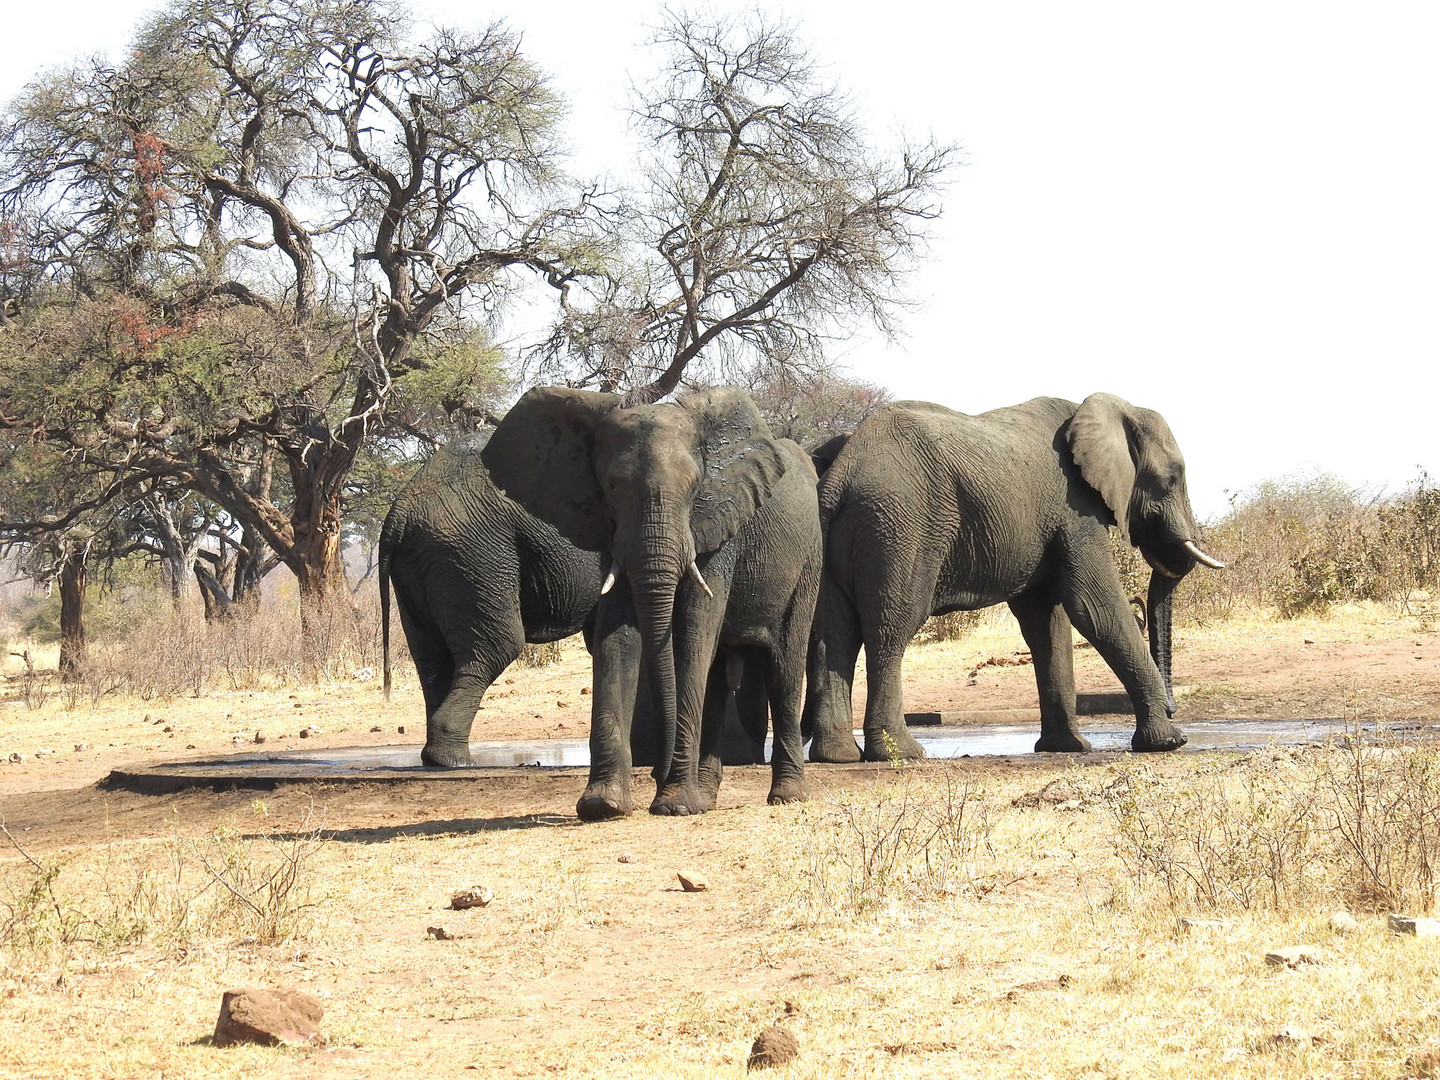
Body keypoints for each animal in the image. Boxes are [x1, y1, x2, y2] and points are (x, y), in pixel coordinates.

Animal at [377, 432, 771, 771]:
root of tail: (399, 511)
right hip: (472, 554)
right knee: (497, 646)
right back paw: (455, 761)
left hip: (426, 560)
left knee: (431, 659)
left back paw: (438, 757)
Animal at [483, 385, 823, 817]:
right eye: (611, 488)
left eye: (694, 487)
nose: (655, 777)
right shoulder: (611, 532)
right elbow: (617, 635)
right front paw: (603, 806)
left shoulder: (718, 523)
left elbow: (694, 630)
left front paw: (674, 805)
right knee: (716, 675)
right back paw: (705, 800)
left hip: (809, 562)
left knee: (784, 666)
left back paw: (786, 796)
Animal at [806, 391, 1221, 760]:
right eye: (1173, 478)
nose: (1173, 707)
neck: (1112, 408)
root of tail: (839, 477)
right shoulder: (1076, 509)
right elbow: (1094, 609)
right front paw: (1169, 742)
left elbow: (1045, 623)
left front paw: (1067, 747)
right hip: (900, 528)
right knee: (892, 629)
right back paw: (903, 754)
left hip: (840, 535)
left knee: (834, 635)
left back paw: (838, 756)